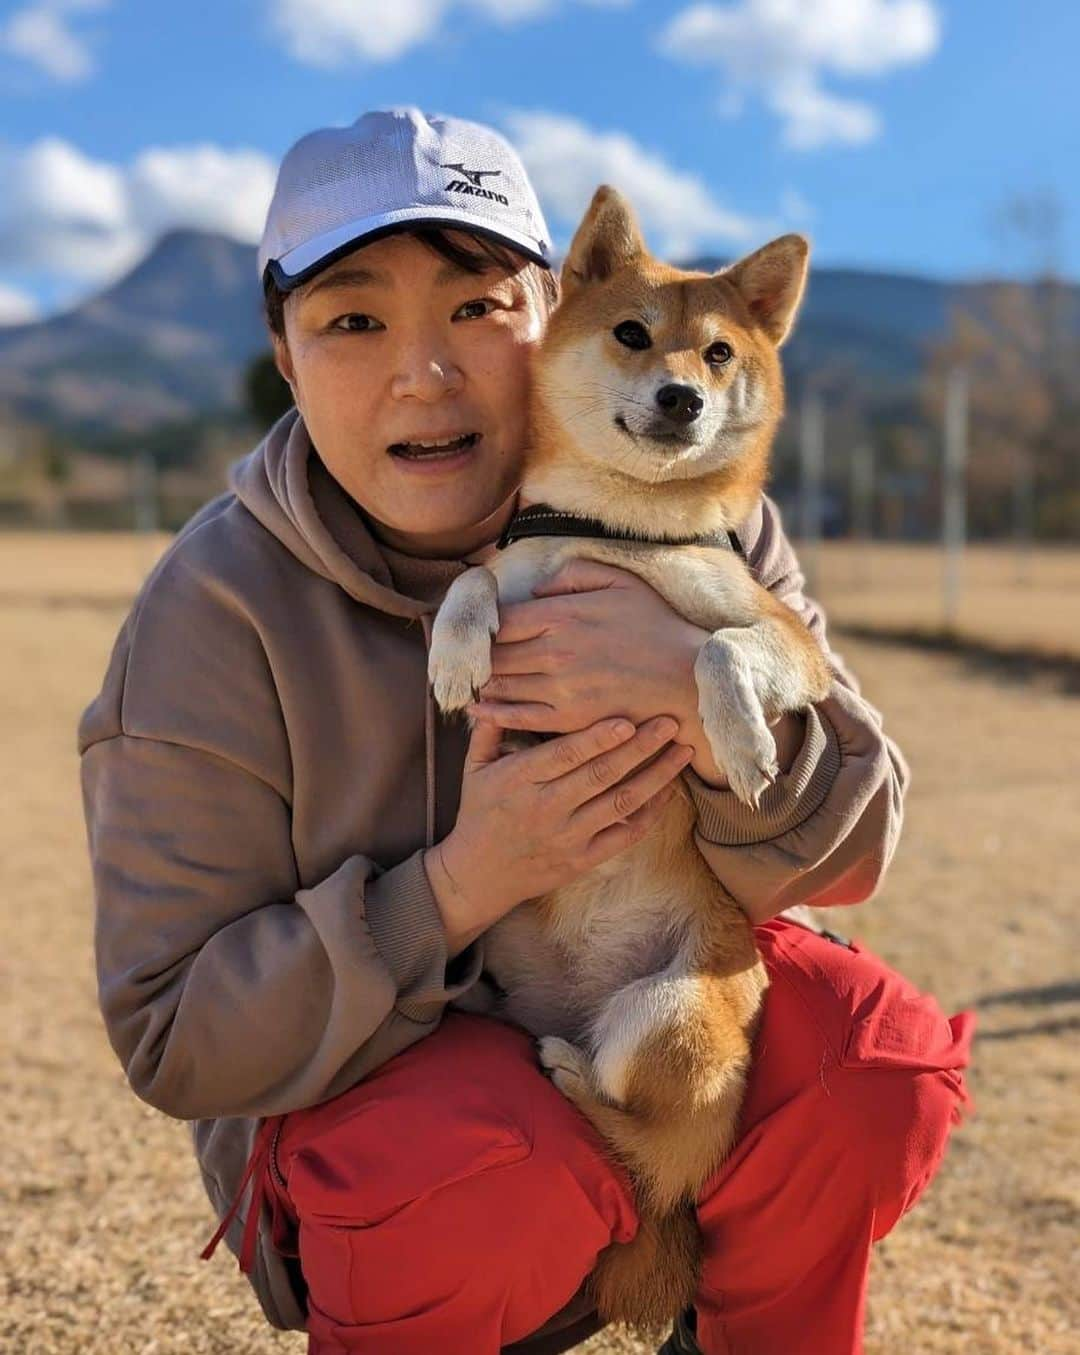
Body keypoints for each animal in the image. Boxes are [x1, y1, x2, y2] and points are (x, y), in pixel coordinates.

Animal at [425, 185, 829, 1327]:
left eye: (722, 353)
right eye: (634, 336)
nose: (683, 398)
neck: (618, 528)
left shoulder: (791, 643)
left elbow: (722, 650)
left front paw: (743, 742)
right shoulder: (516, 570)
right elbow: (472, 580)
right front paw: (455, 654)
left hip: (668, 1012)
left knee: (635, 1127)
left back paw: (569, 1068)